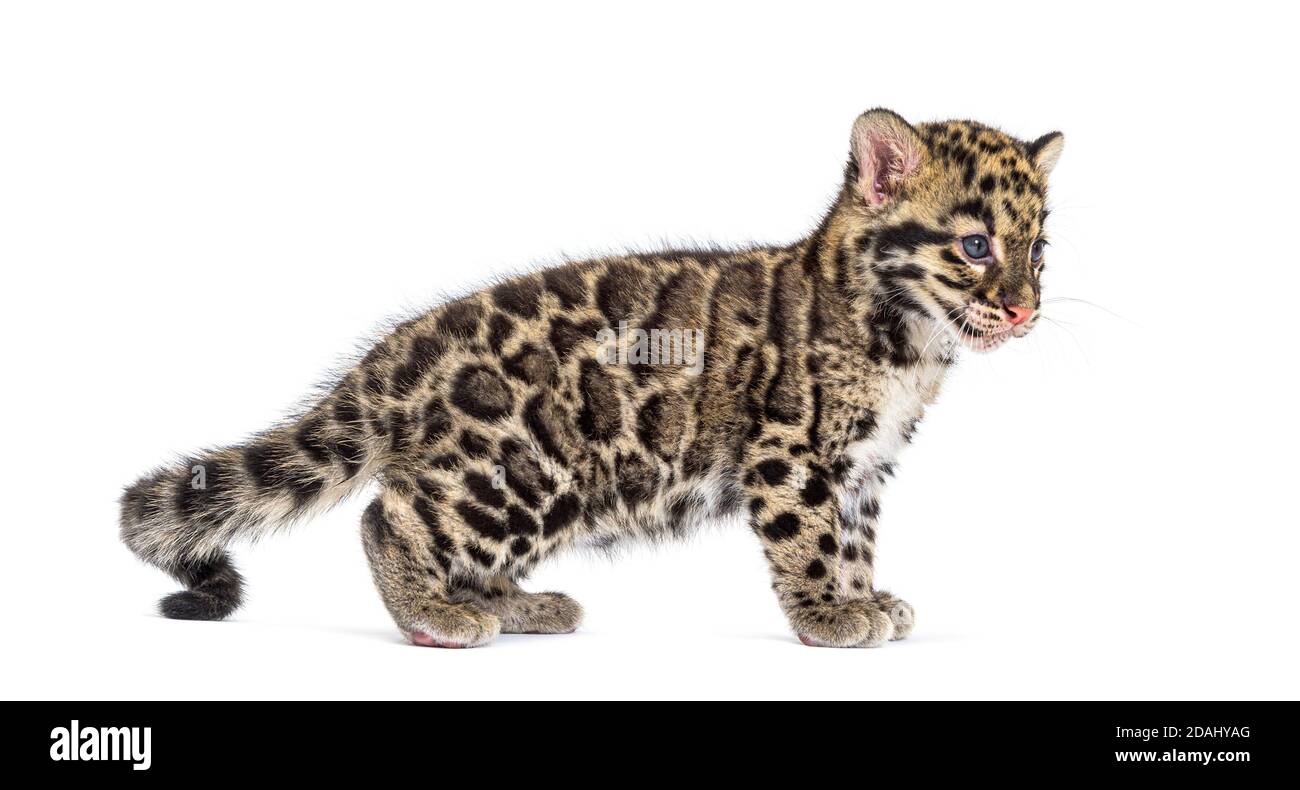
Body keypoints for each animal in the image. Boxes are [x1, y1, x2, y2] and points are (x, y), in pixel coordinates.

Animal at [120, 108, 1063, 648]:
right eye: (975, 245)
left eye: (1039, 250)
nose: (1024, 309)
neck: (910, 342)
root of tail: (396, 357)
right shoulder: (788, 453)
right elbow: (810, 540)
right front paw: (828, 615)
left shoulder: (863, 464)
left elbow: (856, 539)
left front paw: (870, 598)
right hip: (515, 469)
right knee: (388, 518)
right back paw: (435, 614)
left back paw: (521, 608)